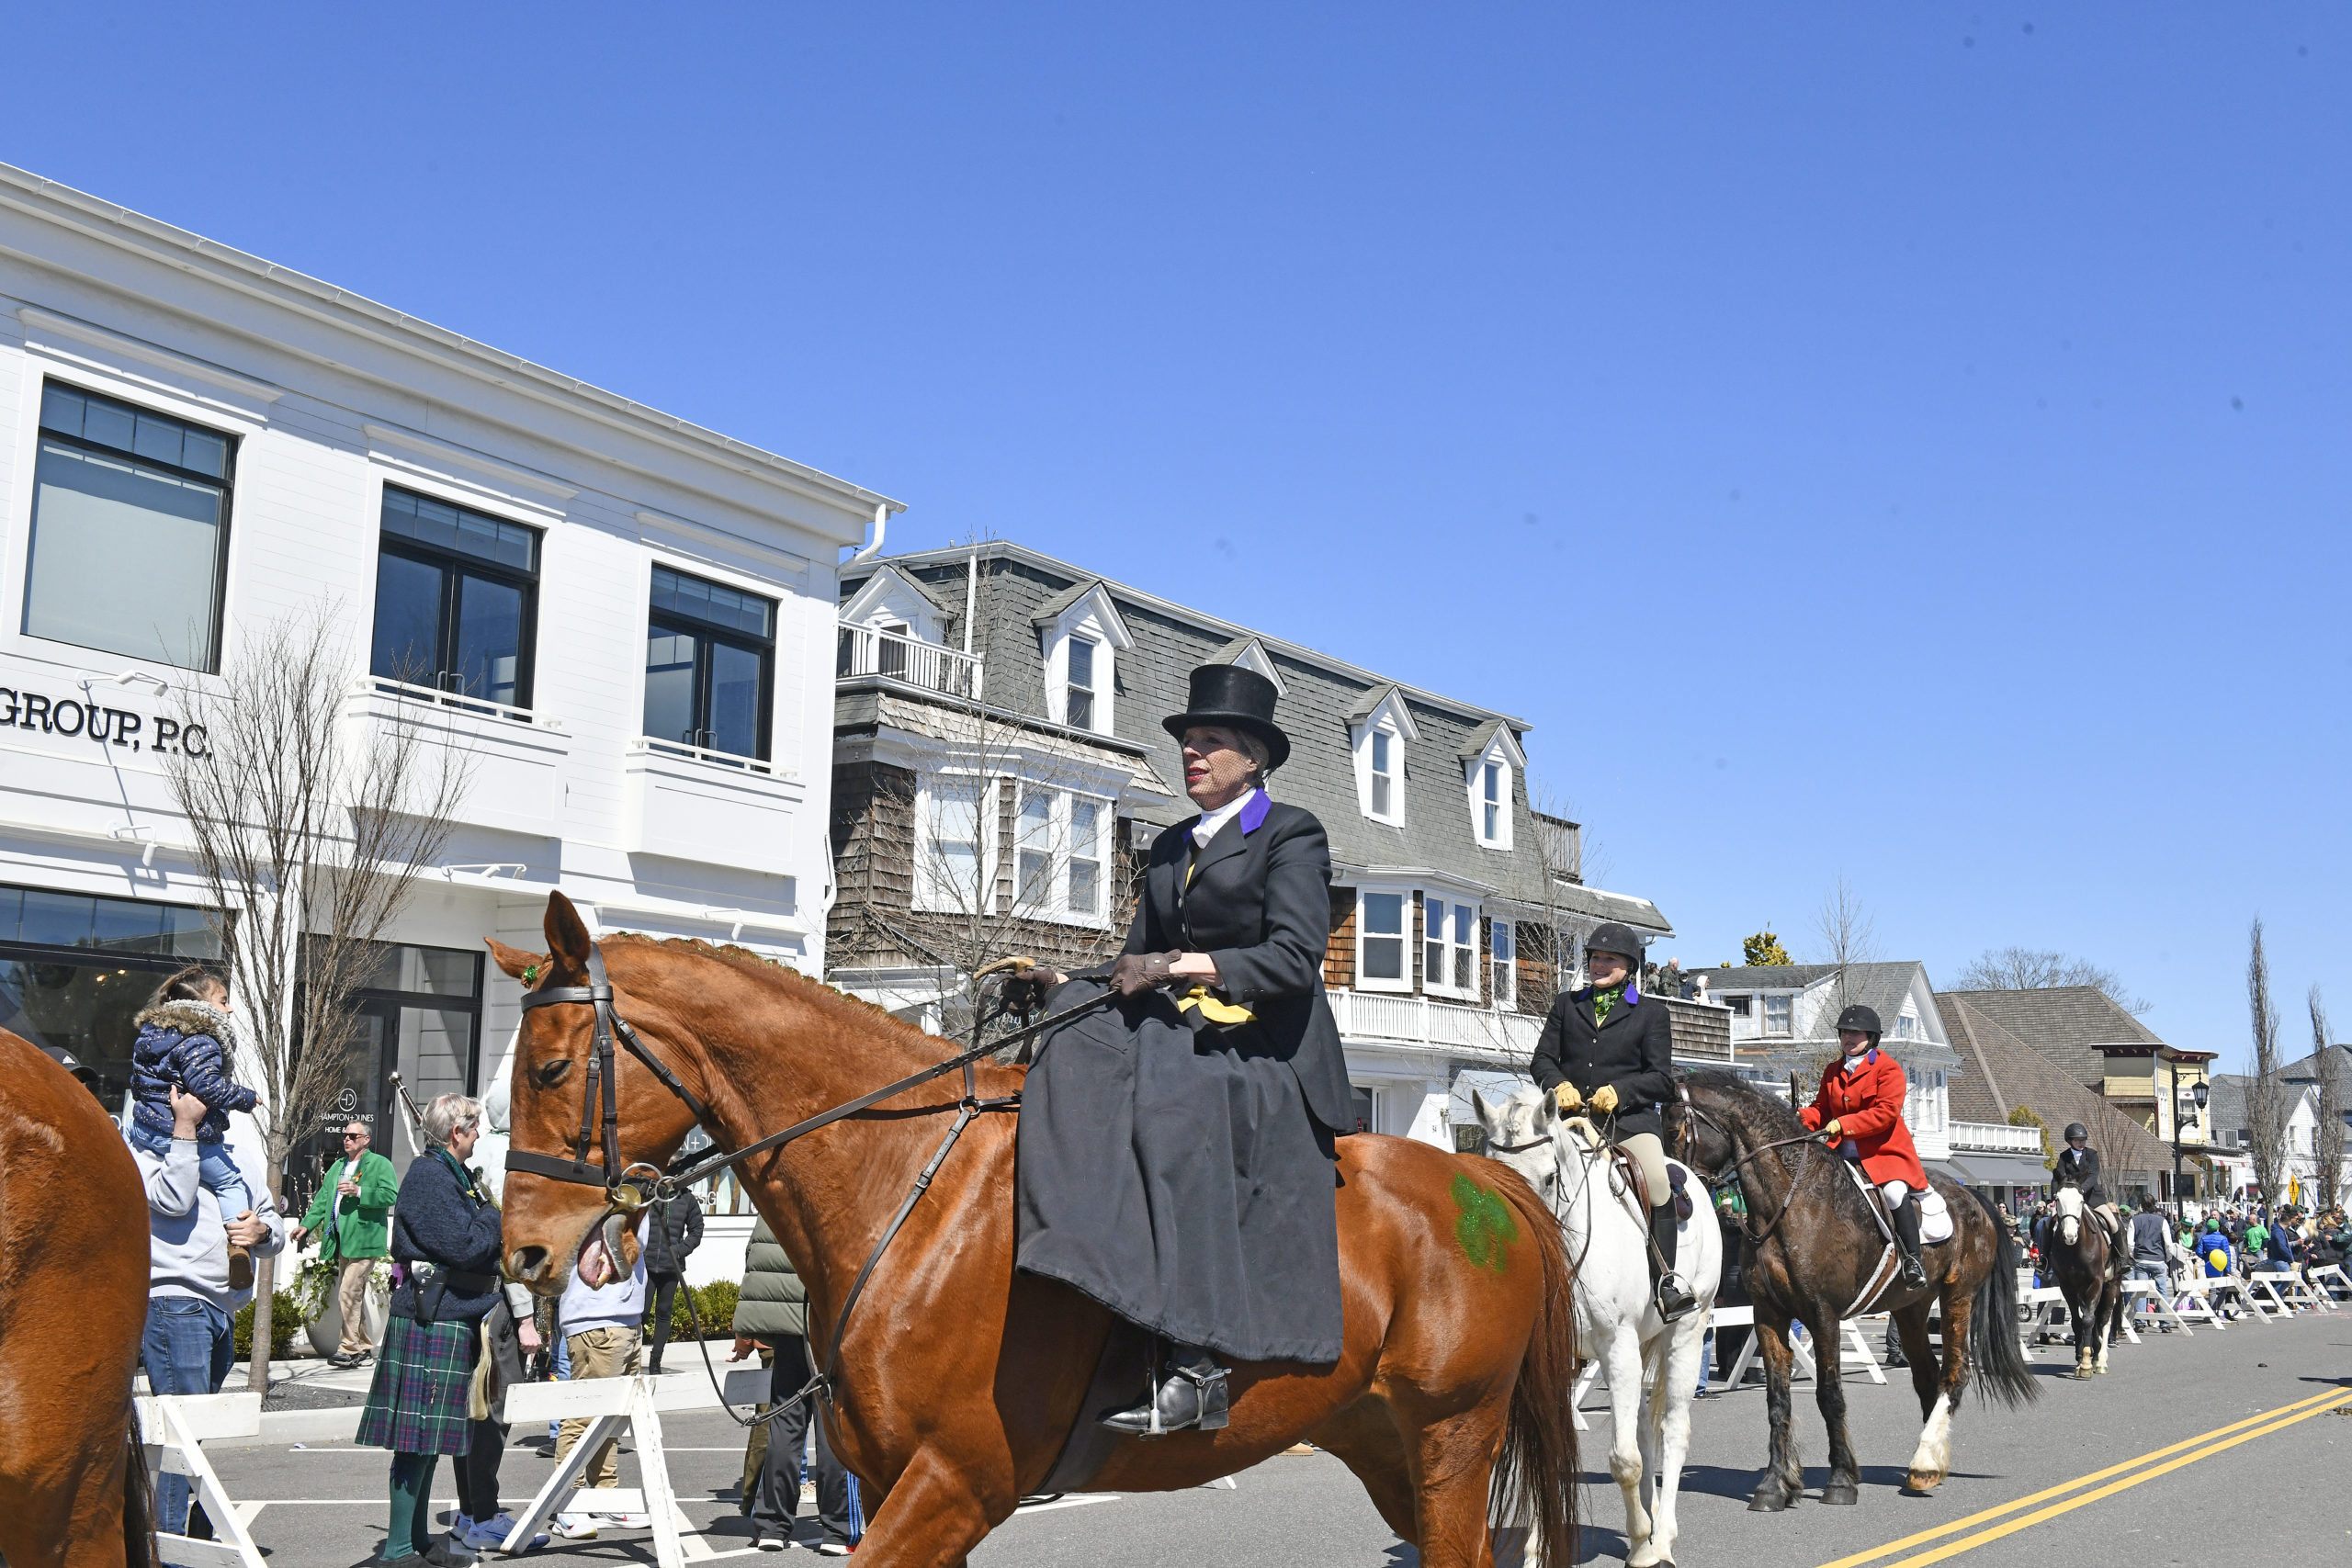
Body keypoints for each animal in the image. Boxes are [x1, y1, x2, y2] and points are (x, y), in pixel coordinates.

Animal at [492, 893, 1580, 1568]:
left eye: (549, 1067)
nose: (524, 1253)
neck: (906, 1181)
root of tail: (1480, 1176)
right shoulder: (907, 1486)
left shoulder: (955, 1482)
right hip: (1383, 1441)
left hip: (1451, 1435)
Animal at [1467, 1086, 1731, 1568]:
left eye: (1550, 1177)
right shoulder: (1550, 1361)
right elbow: (1549, 1456)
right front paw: (1538, 1550)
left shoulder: (1617, 1347)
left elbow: (1624, 1460)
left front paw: (1642, 1546)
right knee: (1644, 1427)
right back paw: (1647, 1527)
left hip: (1685, 1332)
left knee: (1673, 1431)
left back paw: (1661, 1538)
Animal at [1665, 1072, 2031, 1514]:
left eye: (1674, 1130)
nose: (1672, 1200)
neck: (1789, 1203)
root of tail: (1974, 1197)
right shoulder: (1768, 1315)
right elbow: (1777, 1398)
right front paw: (1774, 1485)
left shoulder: (1823, 1315)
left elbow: (1830, 1395)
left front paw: (1840, 1480)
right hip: (1911, 1308)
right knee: (1927, 1377)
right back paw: (1928, 1463)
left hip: (1958, 1296)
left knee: (1954, 1376)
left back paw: (1926, 1461)